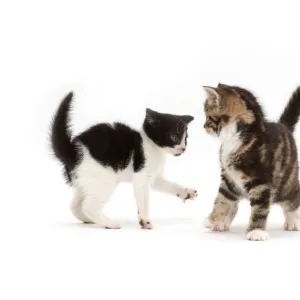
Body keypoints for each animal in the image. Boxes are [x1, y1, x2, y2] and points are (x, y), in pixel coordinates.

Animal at [50, 92, 197, 229]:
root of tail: (72, 150)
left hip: (84, 181)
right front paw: (145, 221)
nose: (183, 148)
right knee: (88, 206)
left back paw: (89, 220)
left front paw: (186, 192)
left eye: (186, 138)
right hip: (104, 179)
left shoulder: (154, 177)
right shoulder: (142, 176)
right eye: (173, 137)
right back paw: (110, 223)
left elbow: (170, 185)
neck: (154, 148)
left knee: (75, 205)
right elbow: (144, 200)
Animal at [203, 83, 298, 240]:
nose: (203, 126)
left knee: (292, 200)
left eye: (208, 117)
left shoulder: (262, 181)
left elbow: (260, 207)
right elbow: (222, 198)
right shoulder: (228, 178)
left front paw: (256, 231)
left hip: (287, 180)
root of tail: (284, 127)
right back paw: (222, 223)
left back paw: (293, 221)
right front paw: (214, 219)